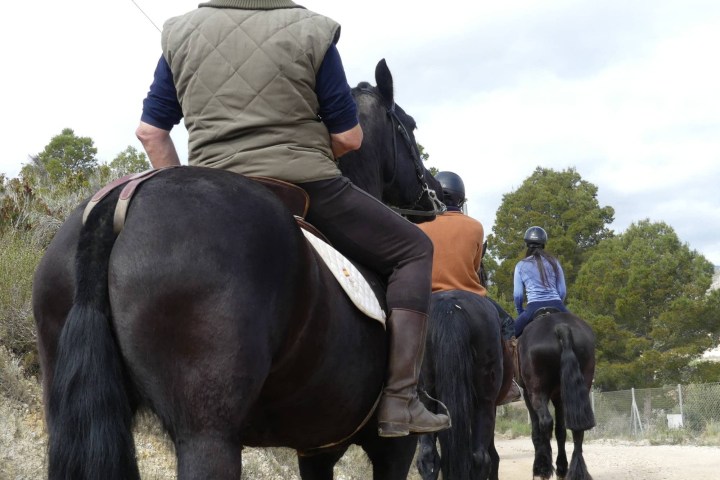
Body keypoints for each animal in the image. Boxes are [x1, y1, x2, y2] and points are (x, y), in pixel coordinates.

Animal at [518, 311, 596, 480]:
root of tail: (561, 328)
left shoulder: (528, 395)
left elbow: (536, 431)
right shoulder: (559, 398)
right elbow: (561, 430)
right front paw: (562, 466)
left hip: (537, 392)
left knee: (545, 422)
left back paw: (543, 467)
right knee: (577, 429)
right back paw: (575, 471)